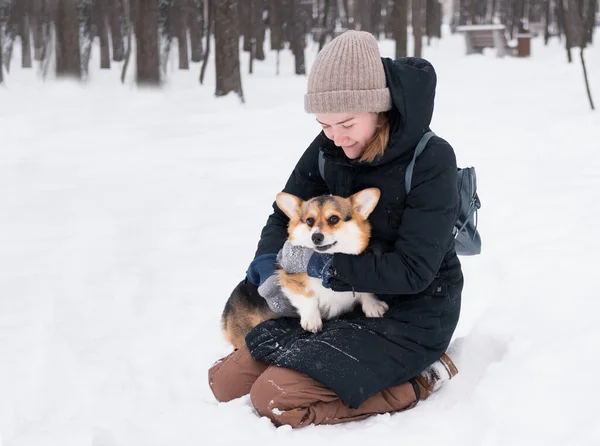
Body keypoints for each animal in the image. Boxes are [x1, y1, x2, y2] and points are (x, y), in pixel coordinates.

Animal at [221, 188, 390, 348]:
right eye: (309, 221)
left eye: (334, 219)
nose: (316, 237)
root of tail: (227, 308)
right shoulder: (289, 279)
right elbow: (307, 297)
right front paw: (312, 320)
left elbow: (363, 287)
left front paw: (373, 304)